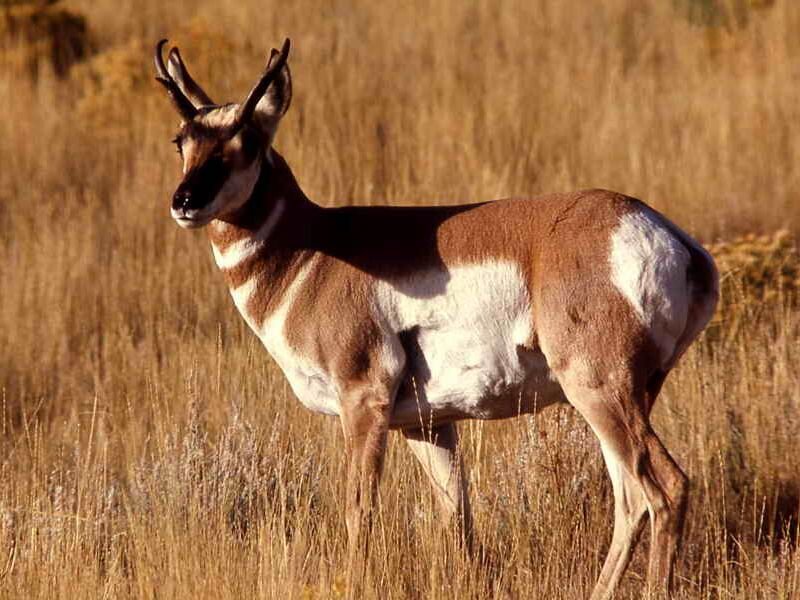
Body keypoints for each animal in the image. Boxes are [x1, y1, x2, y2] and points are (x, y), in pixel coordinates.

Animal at [154, 38, 719, 598]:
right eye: (182, 141)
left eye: (244, 142)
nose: (184, 202)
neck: (314, 249)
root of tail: (669, 237)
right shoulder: (427, 426)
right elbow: (458, 517)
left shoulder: (364, 402)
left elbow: (360, 512)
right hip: (624, 398)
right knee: (630, 500)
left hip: (600, 391)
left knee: (665, 489)